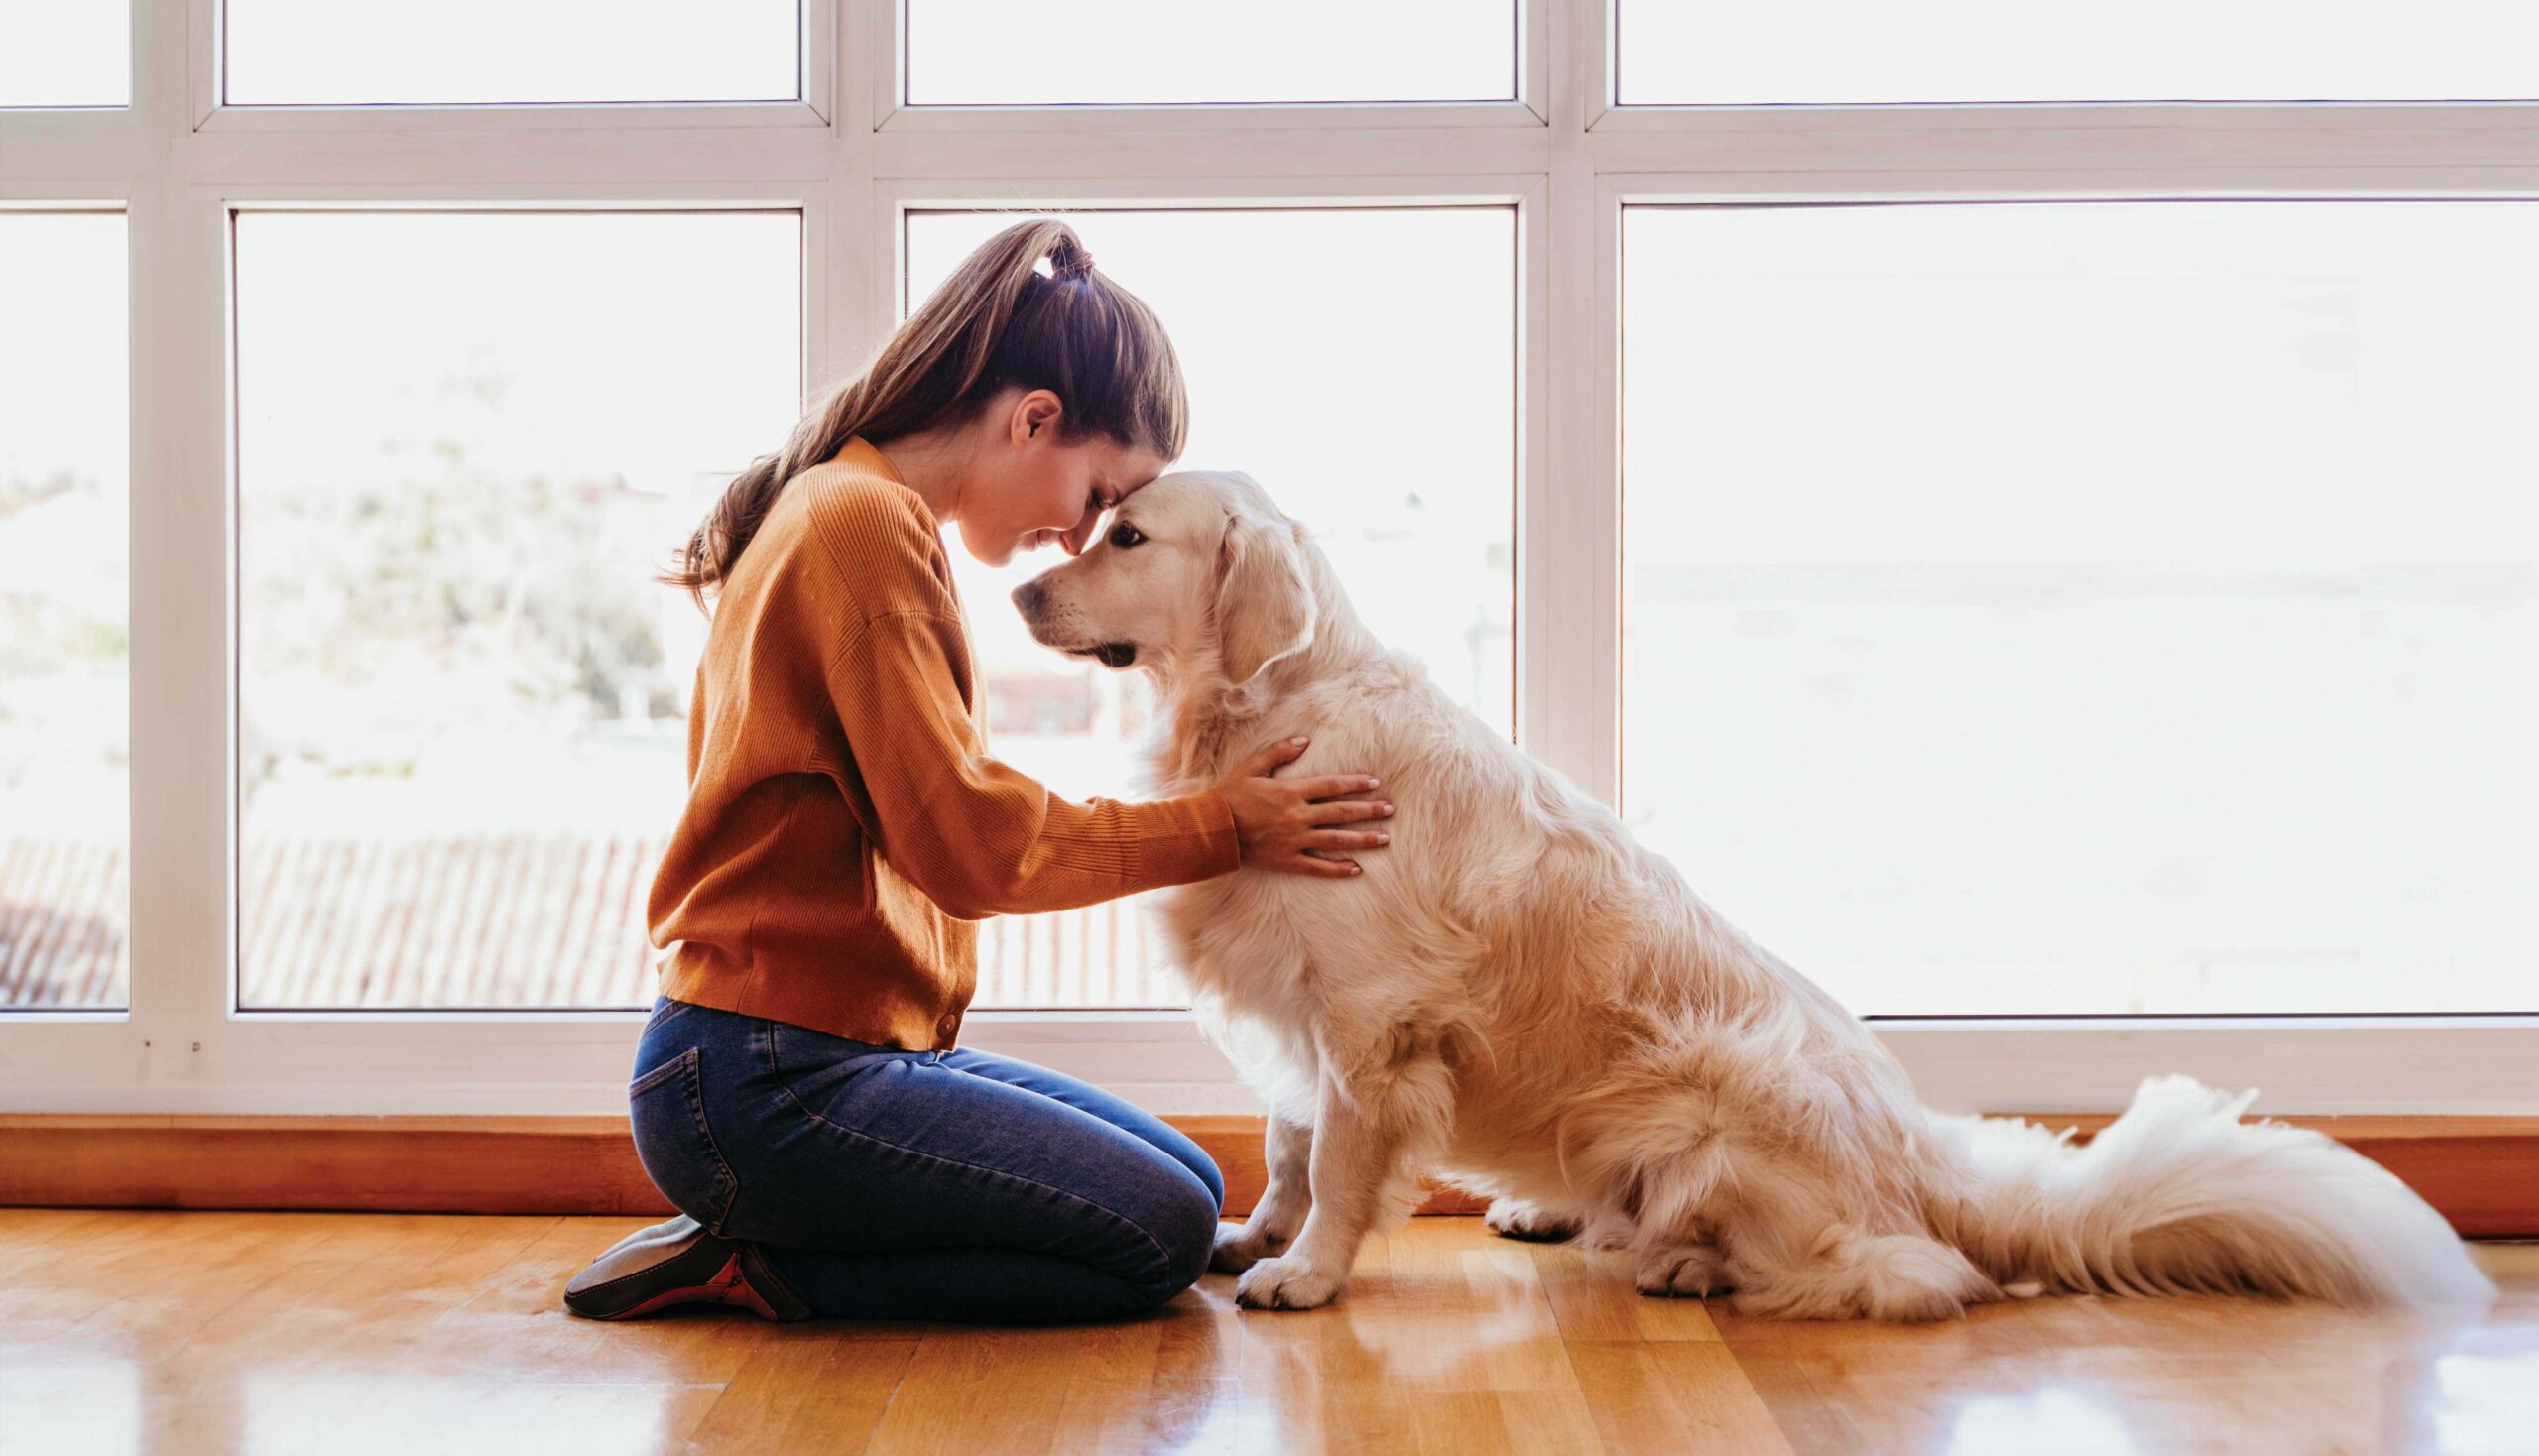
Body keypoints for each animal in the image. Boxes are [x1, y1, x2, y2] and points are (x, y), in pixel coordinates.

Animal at [1005, 475, 2478, 1321]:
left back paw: (1692, 1261)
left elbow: (1344, 1164)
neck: (1264, 714)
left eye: (1125, 536)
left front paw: (1303, 1270)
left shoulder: (1372, 1022)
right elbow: (1290, 1139)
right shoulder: (1298, 1010)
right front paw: (1254, 1229)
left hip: (1726, 1096)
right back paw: (1558, 1210)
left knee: (1903, 1274)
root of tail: (1924, 1168)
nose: (1016, 588)